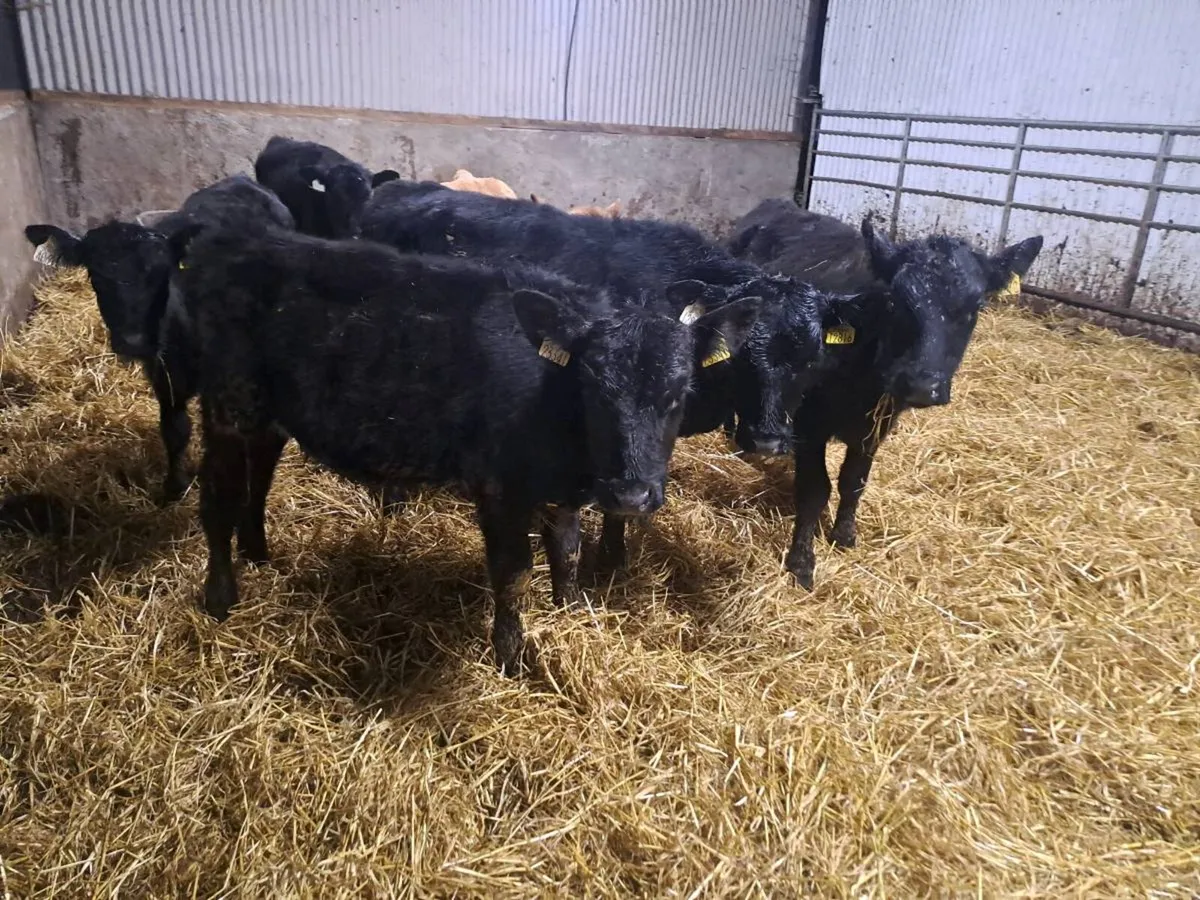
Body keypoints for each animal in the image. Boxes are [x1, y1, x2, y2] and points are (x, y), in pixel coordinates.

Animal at [24, 175, 296, 503]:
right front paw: (174, 487)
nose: (133, 341)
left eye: (161, 275)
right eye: (96, 277)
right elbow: (174, 429)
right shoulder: (164, 375)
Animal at [172, 221, 761, 675]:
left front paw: (572, 612)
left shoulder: (559, 487)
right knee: (218, 498)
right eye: (593, 387)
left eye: (679, 392)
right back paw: (221, 598)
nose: (631, 496)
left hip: (267, 413)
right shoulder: (500, 485)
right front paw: (512, 657)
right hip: (228, 404)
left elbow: (567, 551)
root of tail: (233, 242)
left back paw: (258, 553)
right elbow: (514, 572)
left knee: (260, 477)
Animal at [729, 199, 1044, 589]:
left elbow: (854, 481)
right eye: (896, 302)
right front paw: (802, 562)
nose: (923, 385)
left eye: (976, 308)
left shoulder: (876, 426)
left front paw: (844, 535)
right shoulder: (810, 424)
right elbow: (815, 490)